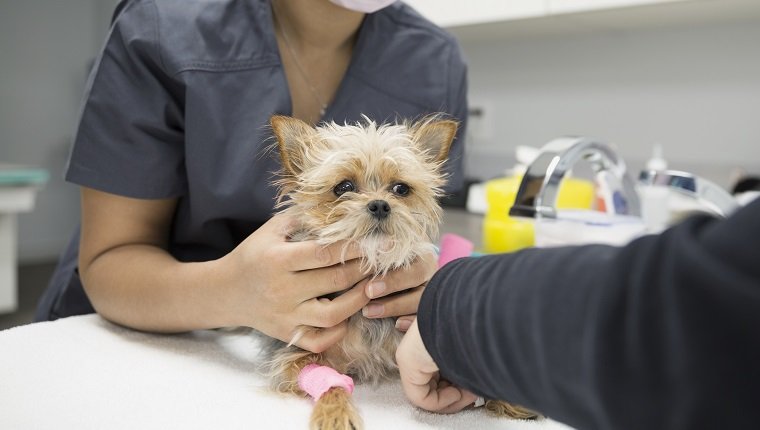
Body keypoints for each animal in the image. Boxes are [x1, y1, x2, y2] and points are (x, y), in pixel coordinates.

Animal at [264, 116, 536, 428]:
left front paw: (506, 399)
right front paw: (336, 415)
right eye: (343, 187)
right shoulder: (296, 356)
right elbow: (330, 384)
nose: (380, 204)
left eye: (401, 189)